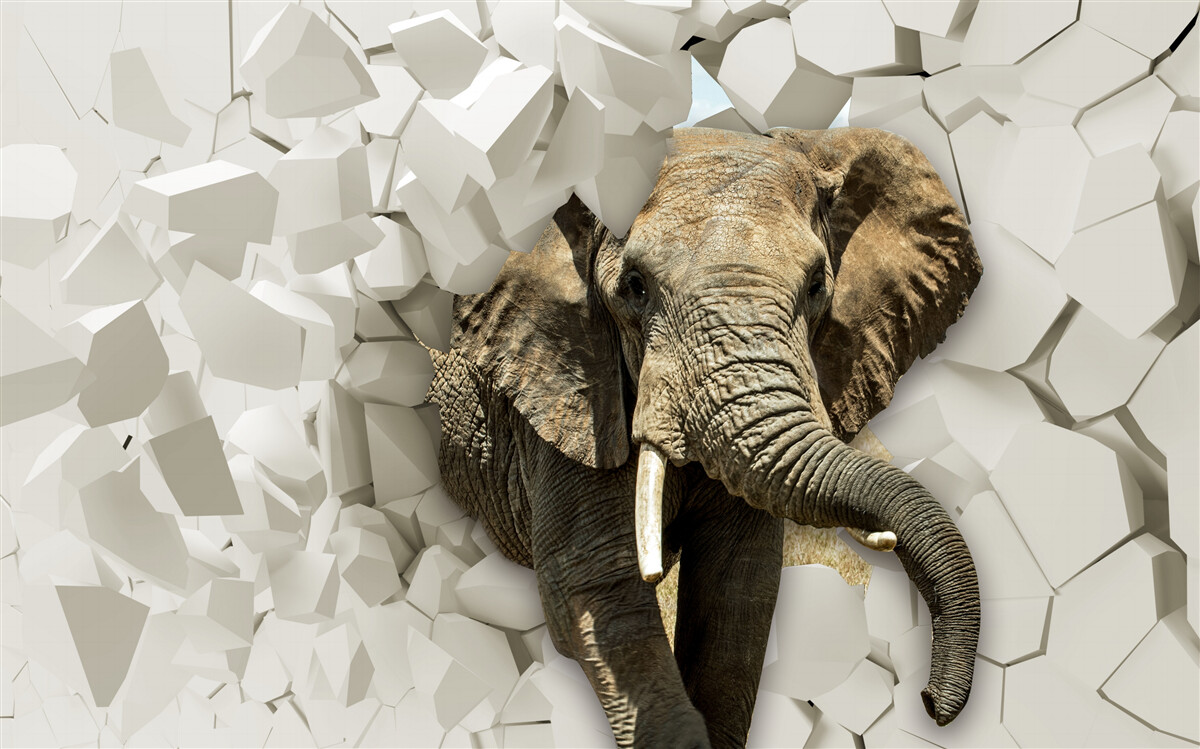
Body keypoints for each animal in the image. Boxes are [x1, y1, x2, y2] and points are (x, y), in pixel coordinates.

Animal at [426, 126, 983, 747]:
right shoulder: (565, 394)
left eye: (818, 285)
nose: (928, 701)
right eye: (635, 288)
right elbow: (594, 590)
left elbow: (735, 595)